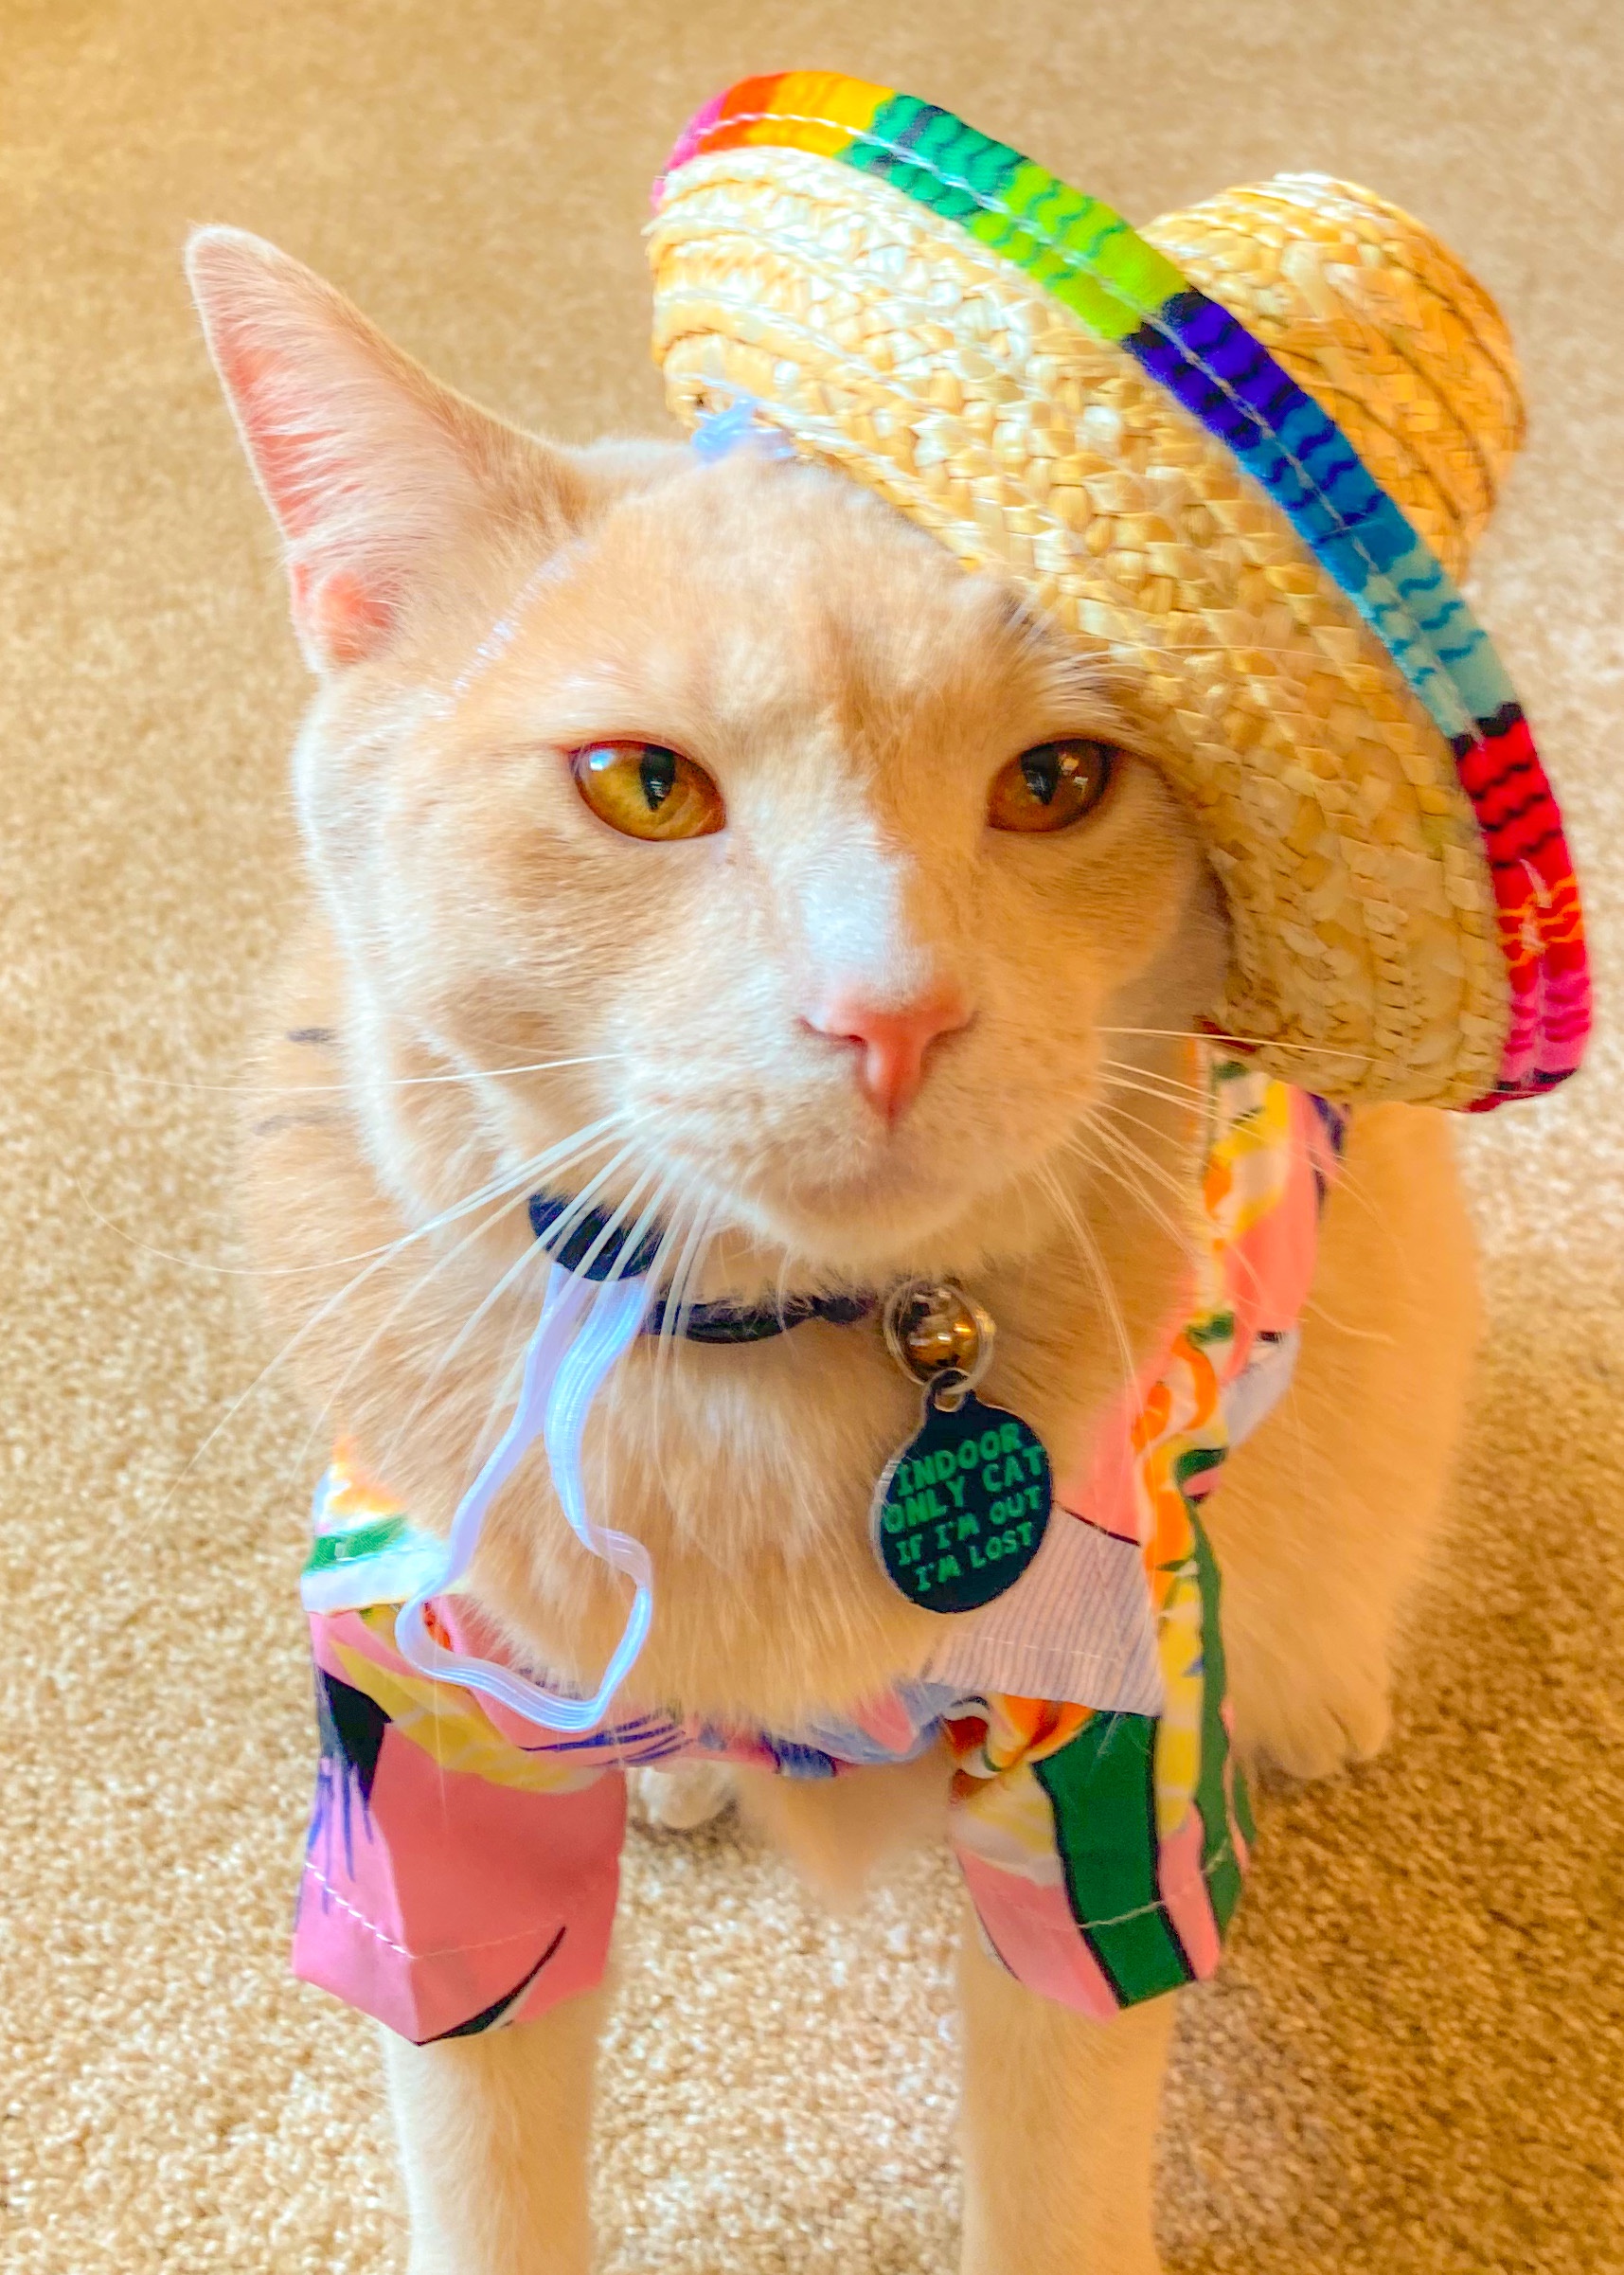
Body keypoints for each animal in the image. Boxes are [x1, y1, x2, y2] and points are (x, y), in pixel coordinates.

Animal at [180, 71, 1582, 2275]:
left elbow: (1055, 2164)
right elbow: (482, 2151)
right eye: (641, 785)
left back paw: (1315, 1683)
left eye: (1060, 781)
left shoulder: (1096, 1782)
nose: (888, 1013)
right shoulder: (423, 1751)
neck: (753, 1377)